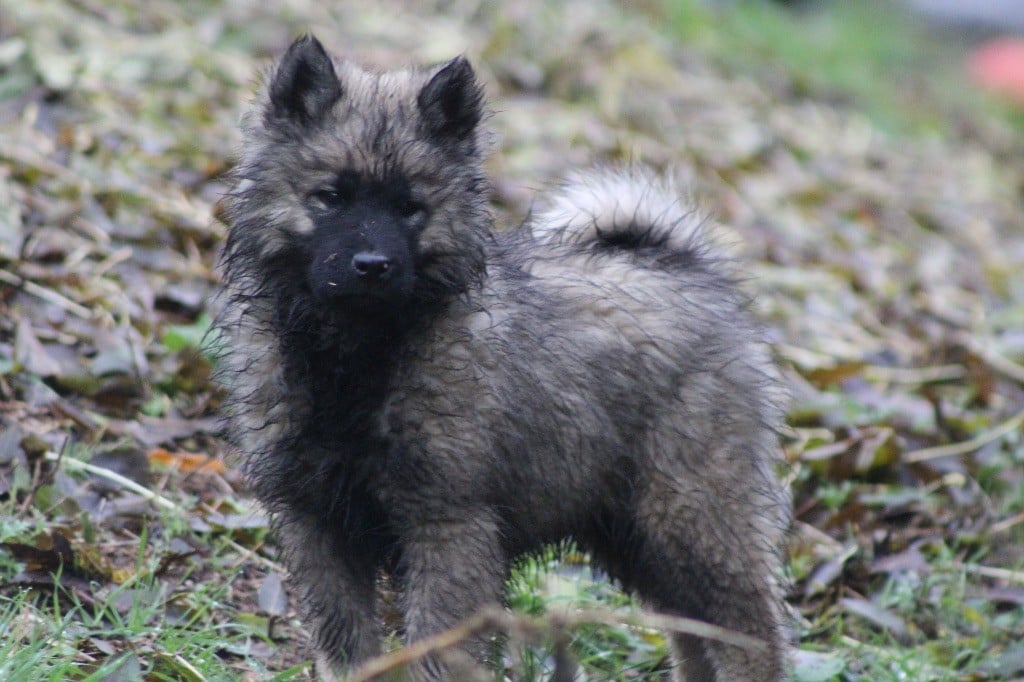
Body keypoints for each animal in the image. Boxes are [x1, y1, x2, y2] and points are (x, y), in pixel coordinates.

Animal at [216, 34, 786, 675]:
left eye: (410, 207)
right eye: (331, 197)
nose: (372, 266)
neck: (356, 354)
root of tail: (691, 270)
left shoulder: (448, 523)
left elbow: (439, 651)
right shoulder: (317, 525)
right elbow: (348, 648)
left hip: (692, 512)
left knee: (748, 631)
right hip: (629, 526)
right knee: (689, 627)